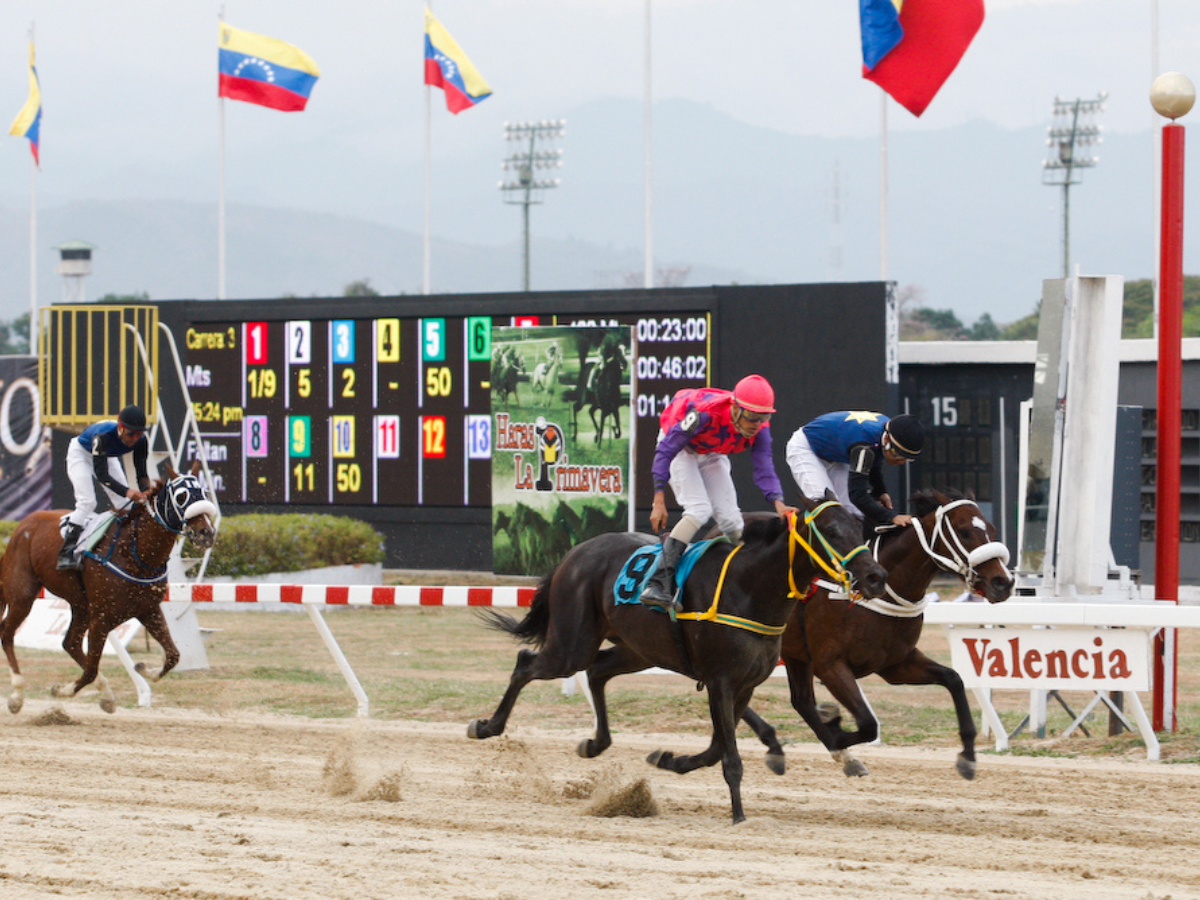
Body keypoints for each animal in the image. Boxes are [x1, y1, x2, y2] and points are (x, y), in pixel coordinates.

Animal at [1, 460, 216, 715]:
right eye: (182, 496)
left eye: (204, 492)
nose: (206, 533)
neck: (135, 552)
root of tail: (24, 523)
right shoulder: (102, 618)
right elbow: (91, 669)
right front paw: (63, 690)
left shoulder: (148, 609)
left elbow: (173, 655)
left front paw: (144, 669)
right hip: (22, 595)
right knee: (7, 633)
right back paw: (16, 694)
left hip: (81, 605)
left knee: (70, 643)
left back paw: (106, 694)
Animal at [463, 496, 888, 830]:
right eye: (831, 530)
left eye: (859, 526)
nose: (875, 576)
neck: (750, 587)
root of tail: (574, 553)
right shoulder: (720, 680)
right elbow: (729, 756)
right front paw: (739, 816)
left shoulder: (744, 685)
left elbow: (717, 749)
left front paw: (669, 759)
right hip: (572, 643)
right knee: (527, 663)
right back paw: (486, 726)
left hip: (637, 649)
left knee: (596, 671)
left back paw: (595, 743)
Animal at [739, 489, 1012, 777]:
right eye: (964, 531)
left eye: (992, 528)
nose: (1003, 583)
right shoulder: (830, 665)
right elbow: (869, 724)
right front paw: (835, 726)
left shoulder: (895, 663)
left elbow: (954, 679)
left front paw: (968, 756)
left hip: (793, 655)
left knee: (799, 700)